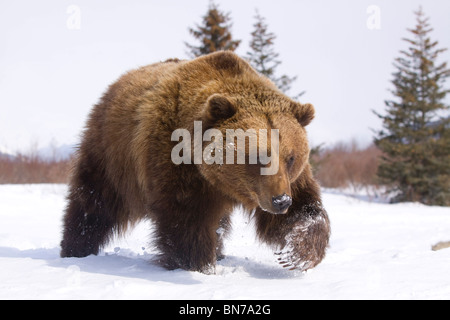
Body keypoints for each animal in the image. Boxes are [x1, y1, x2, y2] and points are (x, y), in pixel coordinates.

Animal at [60, 50, 330, 272]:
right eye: (256, 155)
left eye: (291, 157)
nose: (280, 201)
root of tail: (115, 85)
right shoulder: (177, 163)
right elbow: (187, 220)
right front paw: (197, 264)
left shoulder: (287, 180)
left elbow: (303, 209)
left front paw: (296, 253)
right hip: (112, 152)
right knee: (94, 202)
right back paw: (76, 248)